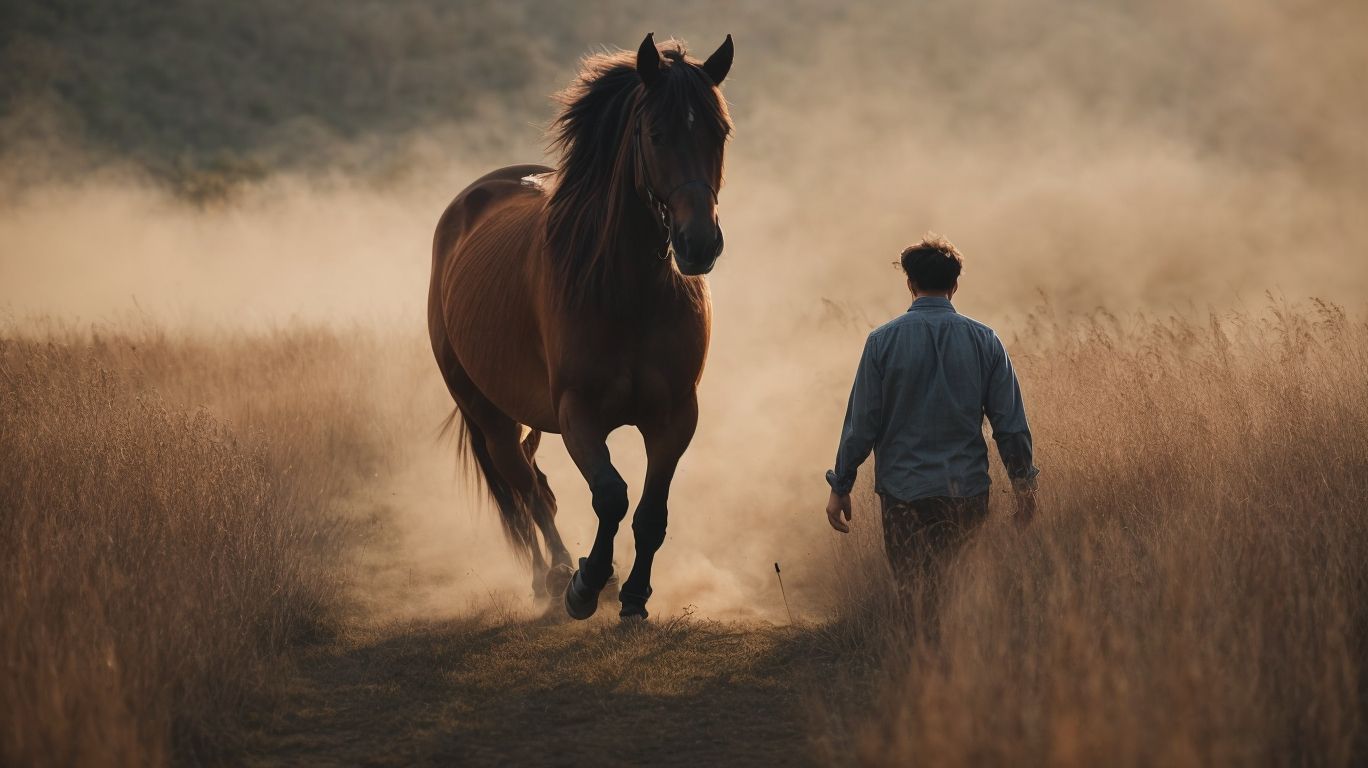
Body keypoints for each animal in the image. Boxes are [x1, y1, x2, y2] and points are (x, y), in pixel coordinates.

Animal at [427, 33, 734, 621]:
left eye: (719, 132)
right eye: (656, 133)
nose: (699, 244)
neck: (627, 291)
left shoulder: (675, 416)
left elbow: (650, 513)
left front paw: (633, 594)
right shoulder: (578, 413)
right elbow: (611, 496)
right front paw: (586, 585)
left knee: (536, 485)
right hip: (489, 415)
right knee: (526, 491)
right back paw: (552, 577)